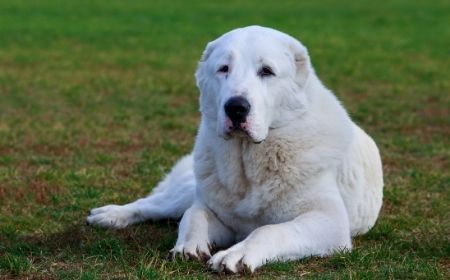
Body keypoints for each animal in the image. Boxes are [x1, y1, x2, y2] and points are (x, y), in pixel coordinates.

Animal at [87, 26, 384, 274]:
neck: (248, 160)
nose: (236, 107)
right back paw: (111, 215)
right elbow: (193, 216)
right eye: (223, 68)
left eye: (266, 71)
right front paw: (188, 246)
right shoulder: (215, 212)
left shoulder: (329, 223)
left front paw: (237, 255)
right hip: (186, 191)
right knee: (155, 205)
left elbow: (268, 231)